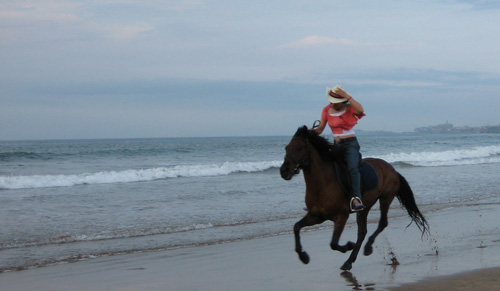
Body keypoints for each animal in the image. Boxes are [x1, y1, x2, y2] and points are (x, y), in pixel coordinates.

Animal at [280, 126, 428, 272]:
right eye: (286, 148)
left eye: (299, 148)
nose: (284, 171)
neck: (322, 184)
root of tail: (391, 168)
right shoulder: (316, 216)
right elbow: (296, 227)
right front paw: (303, 257)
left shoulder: (341, 216)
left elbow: (333, 244)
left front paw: (348, 245)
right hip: (365, 207)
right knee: (362, 232)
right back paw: (350, 260)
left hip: (386, 198)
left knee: (382, 223)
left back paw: (366, 248)